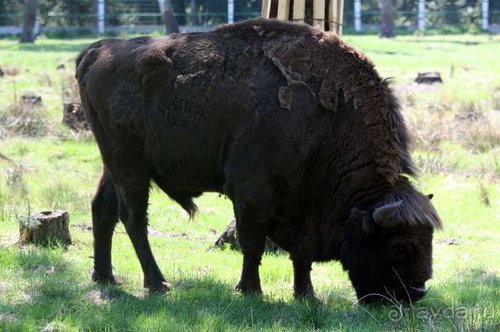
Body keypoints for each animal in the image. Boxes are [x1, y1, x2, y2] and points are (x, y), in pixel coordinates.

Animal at [75, 18, 442, 304]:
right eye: (398, 247)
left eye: (428, 242)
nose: (416, 293)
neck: (325, 121)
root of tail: (96, 50)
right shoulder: (251, 189)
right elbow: (252, 242)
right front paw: (251, 289)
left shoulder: (301, 205)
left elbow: (301, 253)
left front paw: (306, 294)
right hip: (130, 165)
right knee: (133, 217)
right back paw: (157, 283)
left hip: (114, 164)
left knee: (102, 208)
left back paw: (104, 277)